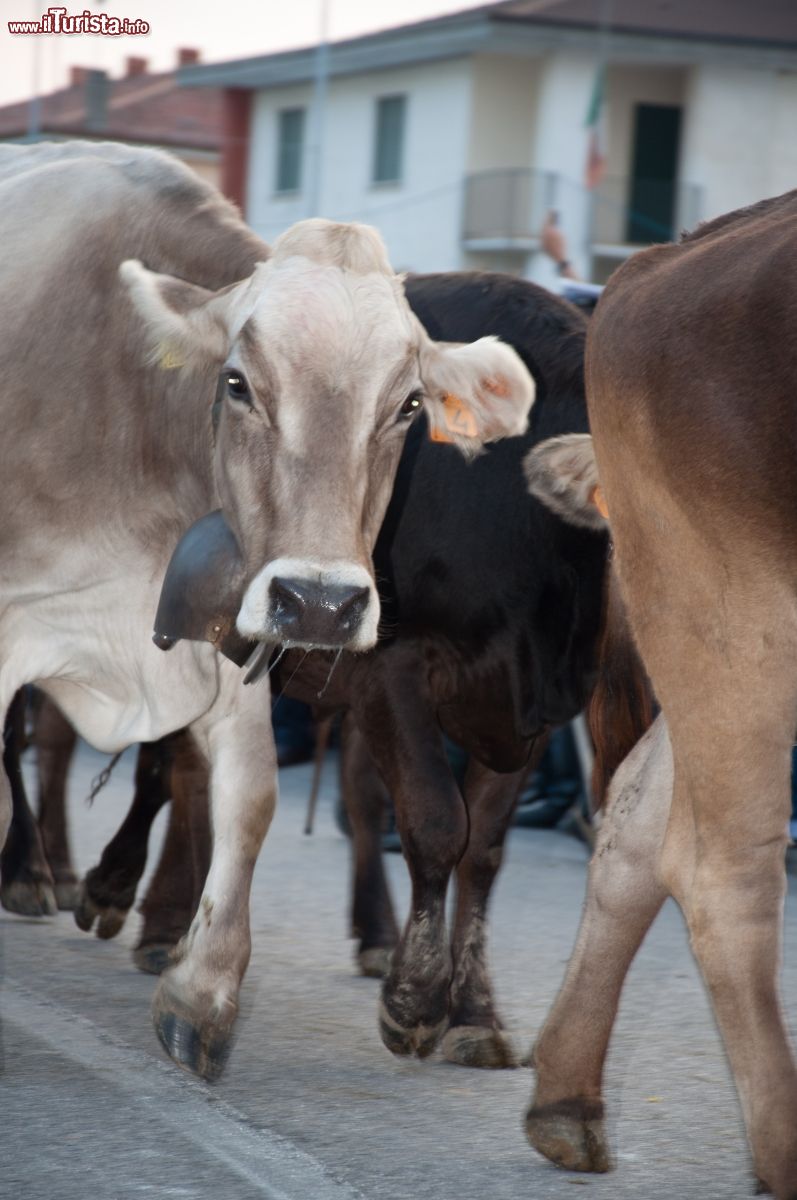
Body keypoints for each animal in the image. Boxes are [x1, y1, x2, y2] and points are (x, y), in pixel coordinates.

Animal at [1, 140, 535, 1080]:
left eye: (407, 405)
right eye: (238, 383)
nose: (323, 601)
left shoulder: (226, 638)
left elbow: (249, 798)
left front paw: (200, 994)